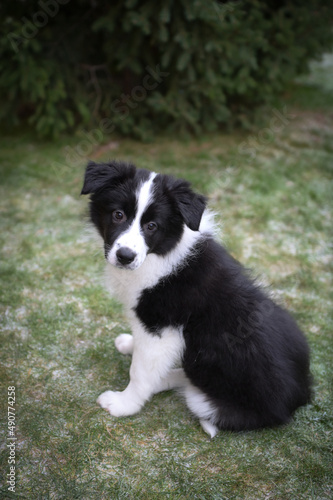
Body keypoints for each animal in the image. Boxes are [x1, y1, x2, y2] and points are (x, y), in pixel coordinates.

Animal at [81, 161, 312, 438]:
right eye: (118, 215)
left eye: (152, 226)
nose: (125, 256)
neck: (161, 254)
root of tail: (302, 396)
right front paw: (130, 344)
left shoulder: (161, 328)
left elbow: (139, 371)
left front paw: (124, 404)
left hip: (206, 400)